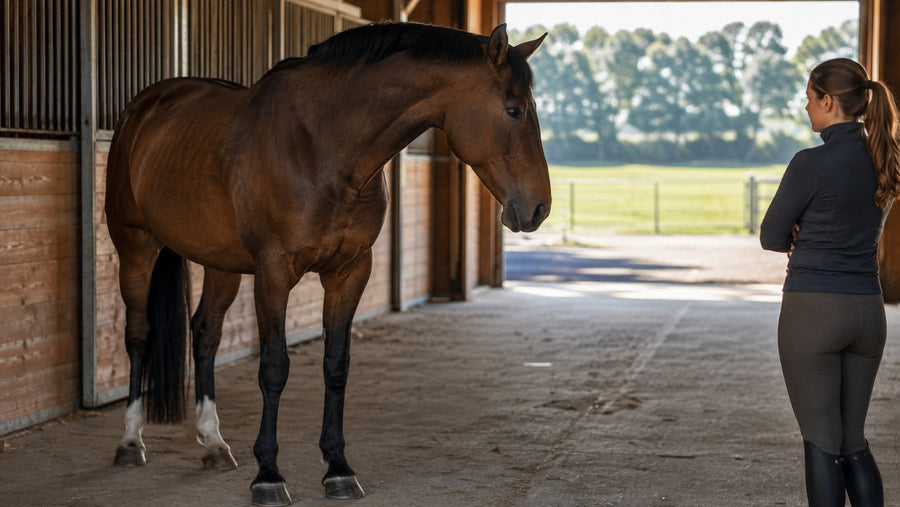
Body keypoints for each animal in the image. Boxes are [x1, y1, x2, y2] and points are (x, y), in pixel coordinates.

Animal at [104, 22, 549, 506]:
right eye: (514, 110)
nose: (539, 208)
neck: (323, 148)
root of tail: (144, 108)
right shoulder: (273, 273)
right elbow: (274, 367)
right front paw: (268, 475)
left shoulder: (349, 272)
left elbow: (336, 364)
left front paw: (338, 468)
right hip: (135, 247)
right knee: (139, 334)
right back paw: (130, 441)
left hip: (220, 263)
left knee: (205, 334)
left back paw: (215, 444)